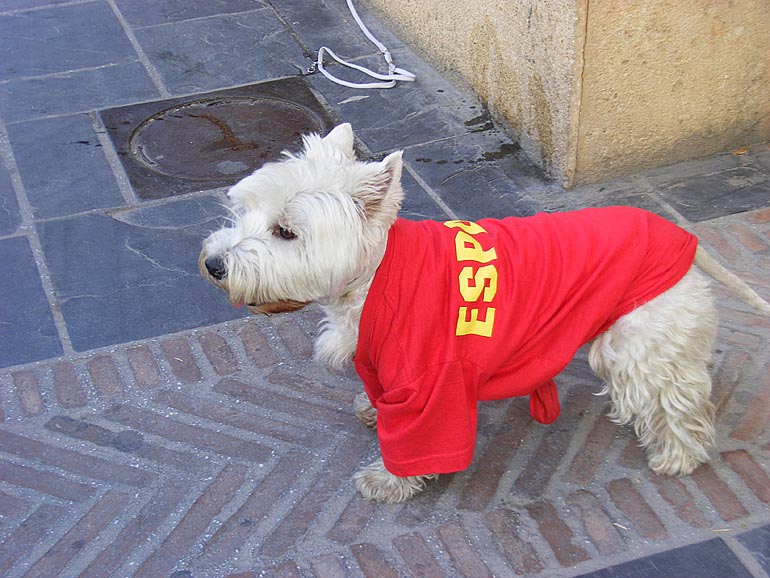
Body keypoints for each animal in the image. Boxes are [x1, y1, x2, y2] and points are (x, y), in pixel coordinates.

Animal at [200, 124, 768, 502]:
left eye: (286, 232)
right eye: (244, 211)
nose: (213, 264)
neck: (376, 275)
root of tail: (683, 241)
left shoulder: (431, 383)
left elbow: (419, 440)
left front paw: (389, 480)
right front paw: (372, 412)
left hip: (641, 342)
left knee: (674, 399)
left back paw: (678, 455)